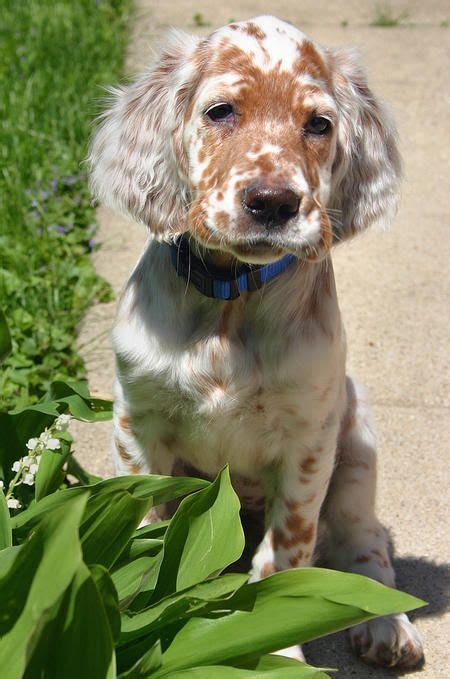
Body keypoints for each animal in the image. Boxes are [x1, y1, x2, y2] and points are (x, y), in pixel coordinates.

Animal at [89, 15, 424, 668]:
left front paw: (280, 654)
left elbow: (286, 558)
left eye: (318, 124)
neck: (231, 302)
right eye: (220, 112)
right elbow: (146, 532)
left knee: (365, 547)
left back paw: (387, 626)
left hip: (358, 447)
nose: (274, 203)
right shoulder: (137, 426)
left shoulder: (307, 445)